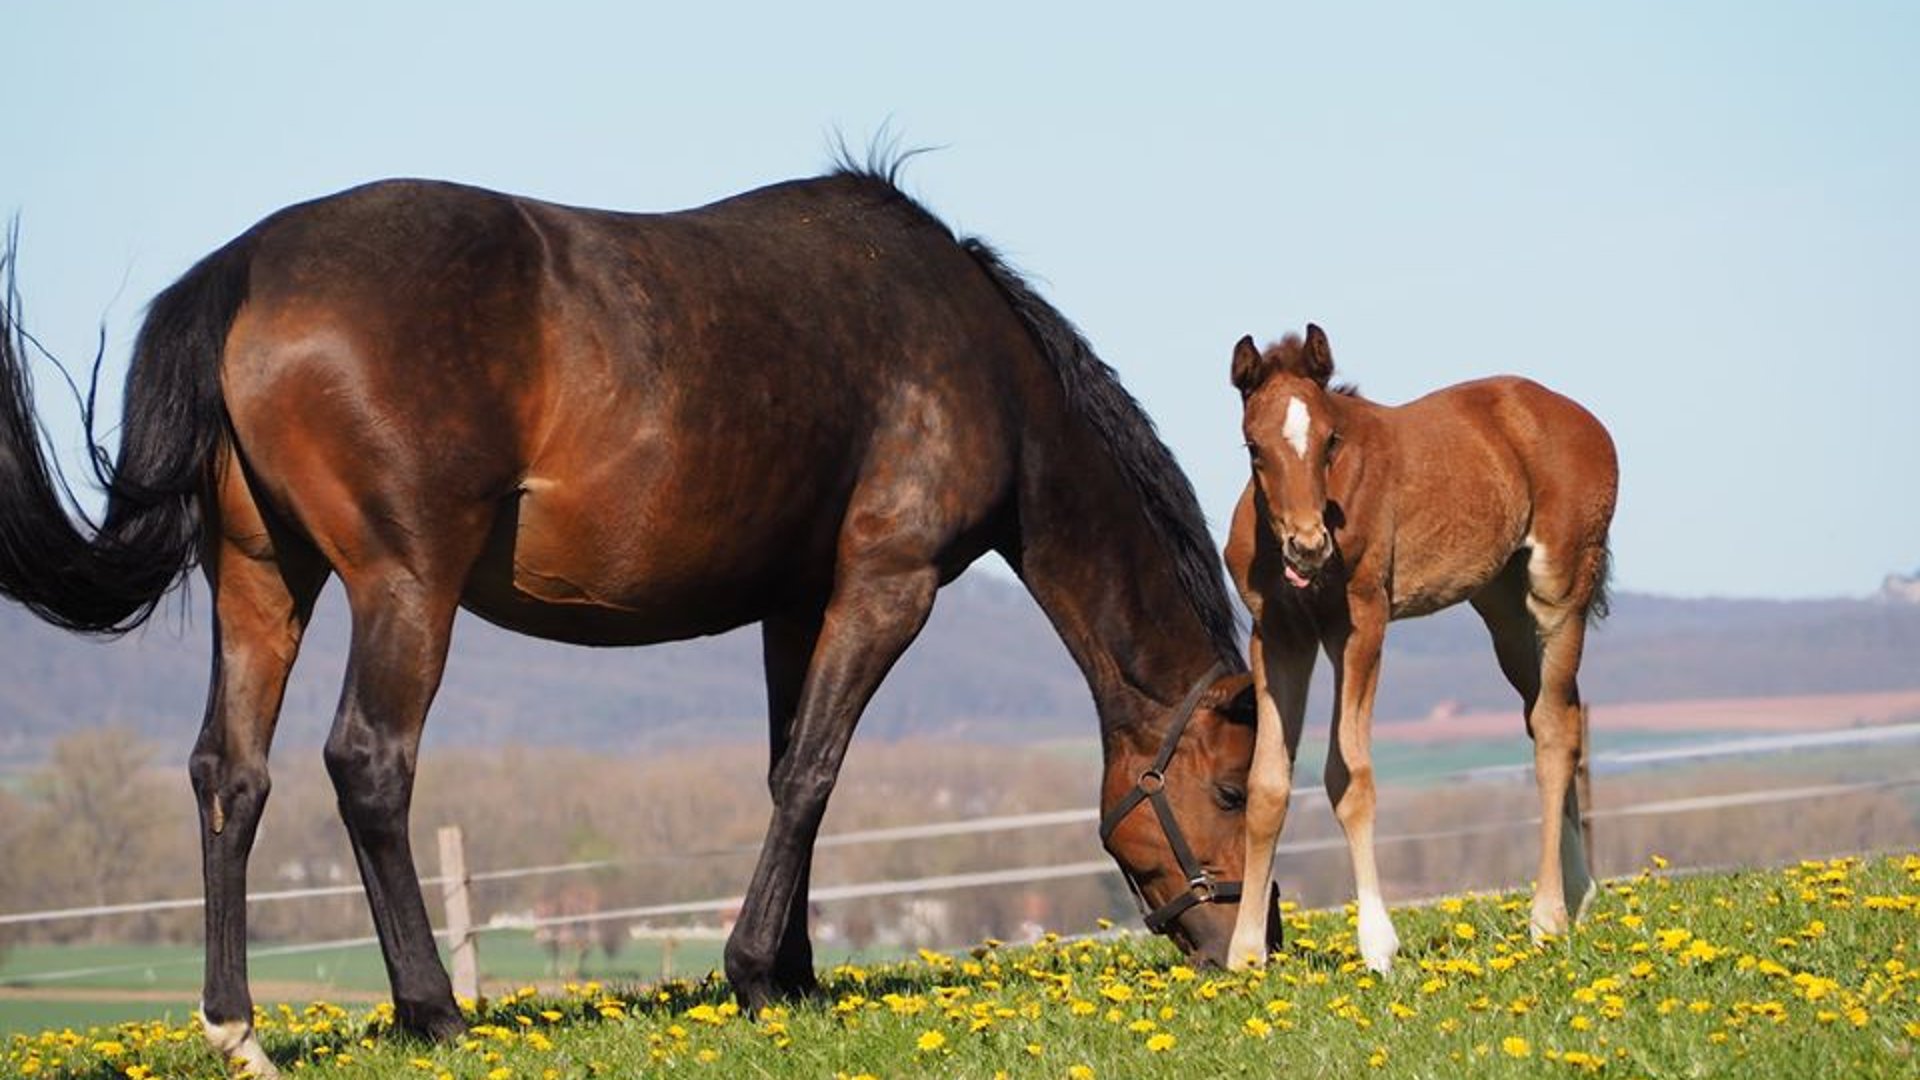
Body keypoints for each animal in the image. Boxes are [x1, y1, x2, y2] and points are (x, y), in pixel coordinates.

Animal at [0, 164, 1274, 1068]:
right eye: (1226, 790)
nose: (1240, 951)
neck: (978, 363)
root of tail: (247, 266)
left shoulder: (795, 604)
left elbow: (789, 776)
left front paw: (796, 980)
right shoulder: (886, 584)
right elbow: (813, 773)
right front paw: (756, 971)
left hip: (266, 577)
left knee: (232, 774)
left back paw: (239, 1029)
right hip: (404, 584)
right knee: (368, 764)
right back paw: (433, 1013)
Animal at [1221, 322, 1612, 972]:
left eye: (1330, 440)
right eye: (1254, 446)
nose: (1309, 546)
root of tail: (1581, 419)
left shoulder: (1360, 624)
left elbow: (1349, 776)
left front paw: (1378, 944)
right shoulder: (1277, 635)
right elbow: (1267, 785)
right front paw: (1246, 953)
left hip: (1559, 594)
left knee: (1555, 731)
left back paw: (1548, 917)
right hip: (1504, 612)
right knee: (1559, 716)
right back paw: (1580, 896)